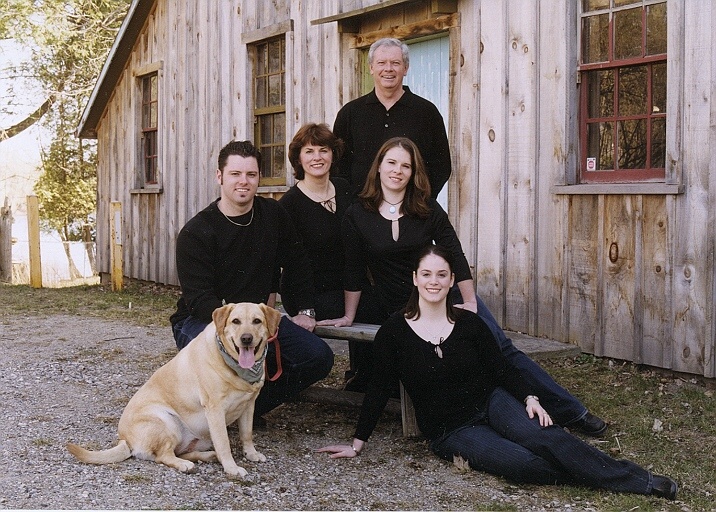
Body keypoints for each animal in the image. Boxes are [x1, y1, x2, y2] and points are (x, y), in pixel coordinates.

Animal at [67, 302, 282, 477]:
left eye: (257, 321)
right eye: (236, 321)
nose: (246, 338)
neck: (233, 366)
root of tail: (125, 440)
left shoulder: (248, 405)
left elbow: (247, 434)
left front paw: (251, 454)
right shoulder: (215, 410)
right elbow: (224, 443)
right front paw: (231, 468)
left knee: (181, 451)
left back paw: (207, 456)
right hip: (167, 422)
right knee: (163, 456)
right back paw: (185, 465)